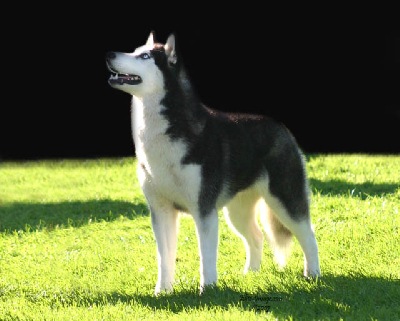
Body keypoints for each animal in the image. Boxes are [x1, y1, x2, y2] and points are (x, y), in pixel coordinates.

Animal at [104, 33, 320, 296]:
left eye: (145, 56)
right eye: (135, 50)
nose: (109, 54)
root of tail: (281, 128)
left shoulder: (203, 209)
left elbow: (206, 255)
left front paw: (207, 288)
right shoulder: (161, 210)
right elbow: (164, 257)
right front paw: (162, 291)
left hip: (284, 200)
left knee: (308, 234)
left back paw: (313, 274)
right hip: (236, 211)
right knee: (256, 236)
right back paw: (251, 273)